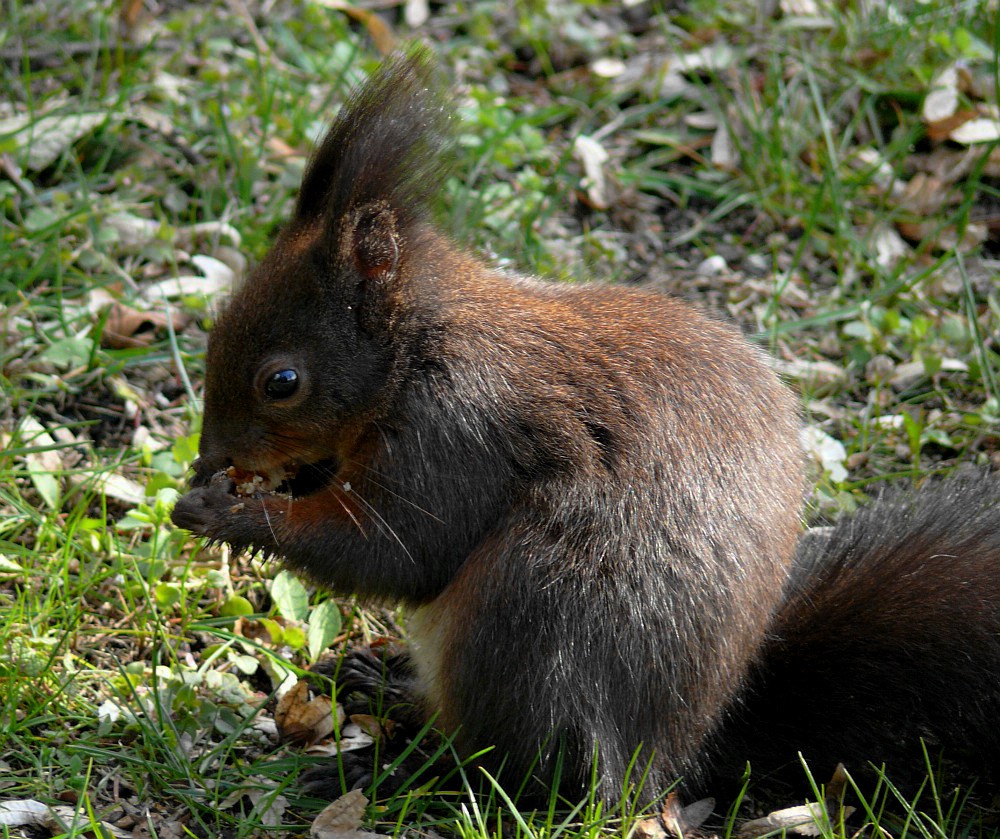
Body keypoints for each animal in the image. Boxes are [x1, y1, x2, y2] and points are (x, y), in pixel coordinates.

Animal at [172, 47, 1000, 808]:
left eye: (282, 382)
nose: (211, 457)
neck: (415, 347)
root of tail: (671, 759)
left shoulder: (457, 428)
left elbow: (396, 548)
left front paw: (227, 511)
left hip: (530, 617)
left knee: (514, 771)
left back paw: (390, 770)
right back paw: (380, 684)